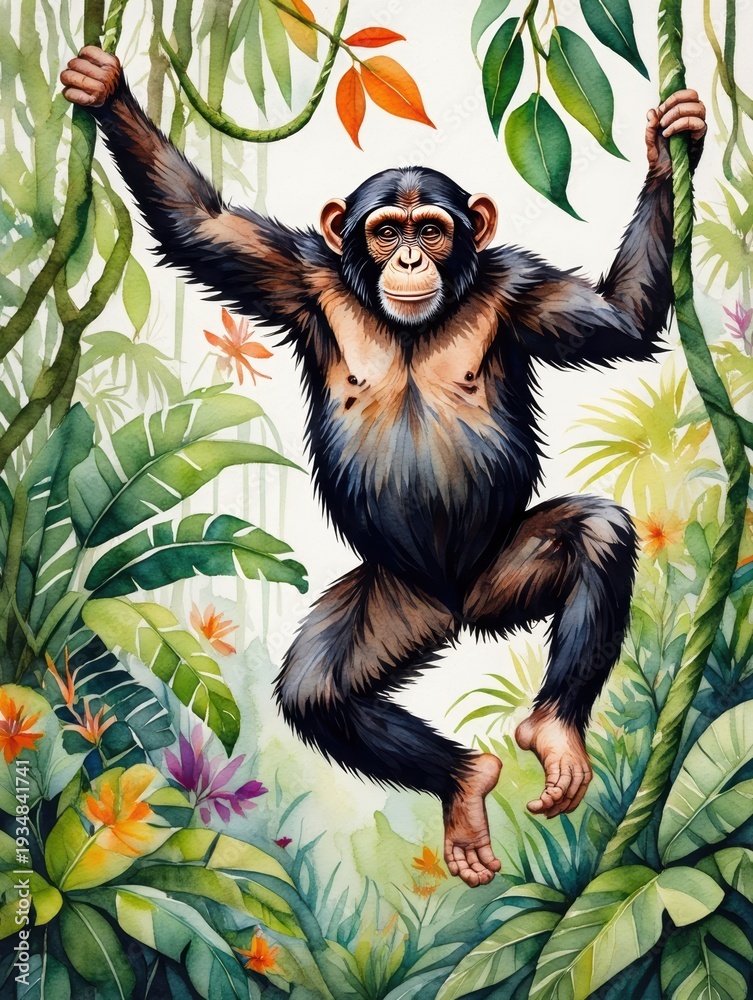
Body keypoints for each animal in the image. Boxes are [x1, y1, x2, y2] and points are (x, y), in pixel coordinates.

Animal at [61, 46, 706, 888]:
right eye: (385, 229)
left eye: (431, 229)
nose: (405, 256)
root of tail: (459, 612)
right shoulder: (295, 273)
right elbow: (201, 225)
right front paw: (102, 87)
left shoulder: (523, 289)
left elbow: (622, 323)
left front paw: (669, 144)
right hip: (395, 607)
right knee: (316, 693)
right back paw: (466, 782)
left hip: (504, 576)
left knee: (594, 533)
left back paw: (554, 733)